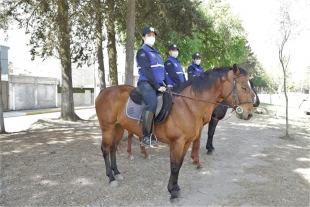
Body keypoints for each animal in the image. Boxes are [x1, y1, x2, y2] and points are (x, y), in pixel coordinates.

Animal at [96, 64, 254, 199]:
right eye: (243, 87)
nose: (249, 113)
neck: (188, 105)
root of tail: (104, 91)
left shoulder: (186, 142)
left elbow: (179, 165)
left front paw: (176, 187)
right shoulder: (177, 142)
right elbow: (174, 165)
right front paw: (172, 192)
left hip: (119, 127)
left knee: (113, 148)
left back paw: (117, 173)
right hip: (107, 128)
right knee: (105, 149)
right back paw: (111, 178)